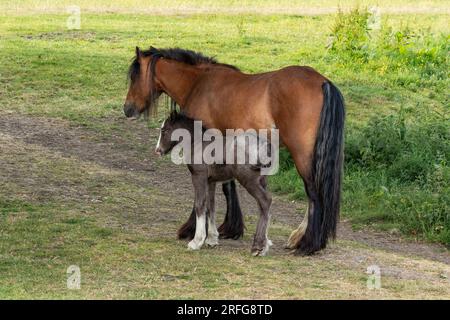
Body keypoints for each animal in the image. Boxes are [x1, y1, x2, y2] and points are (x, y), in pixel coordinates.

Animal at [156, 111, 272, 256]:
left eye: (164, 130)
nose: (158, 150)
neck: (199, 143)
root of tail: (264, 146)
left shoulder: (199, 177)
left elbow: (200, 205)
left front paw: (196, 242)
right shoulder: (211, 181)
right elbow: (211, 206)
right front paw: (212, 240)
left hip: (249, 181)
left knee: (265, 201)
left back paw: (257, 247)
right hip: (262, 181)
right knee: (263, 207)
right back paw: (264, 245)